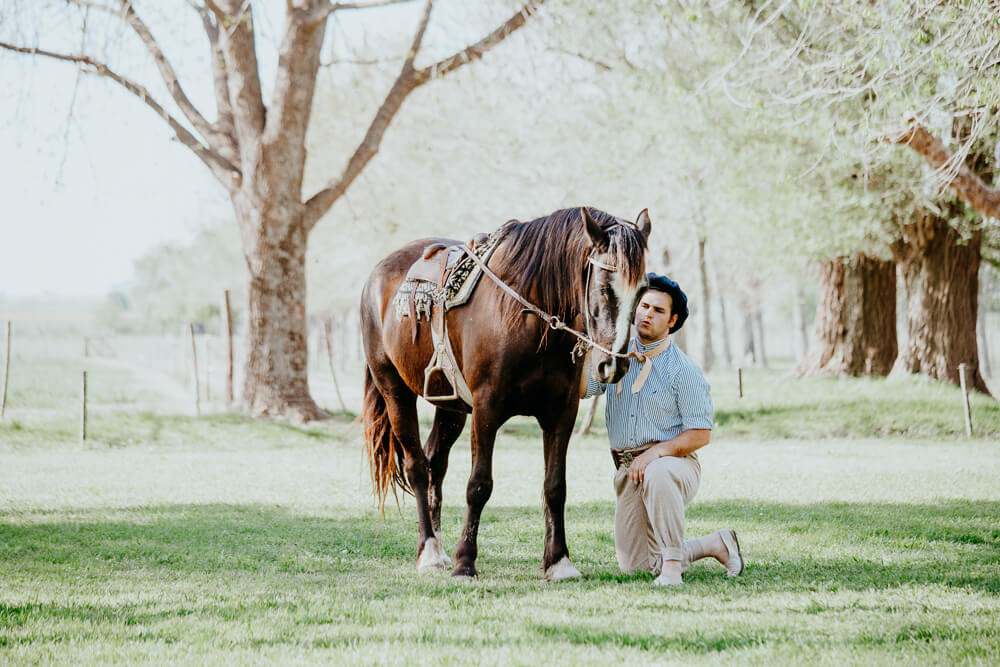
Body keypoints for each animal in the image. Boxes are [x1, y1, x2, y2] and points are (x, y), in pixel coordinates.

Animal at [360, 207, 648, 580]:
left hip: (451, 407)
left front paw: (558, 561)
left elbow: (555, 486)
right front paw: (465, 562)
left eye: (642, 291)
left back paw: (437, 543)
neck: (528, 320)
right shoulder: (486, 411)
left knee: (435, 464)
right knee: (417, 466)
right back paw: (430, 550)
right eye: (604, 286)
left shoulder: (561, 414)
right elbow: (479, 485)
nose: (613, 365)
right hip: (395, 391)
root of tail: (377, 274)